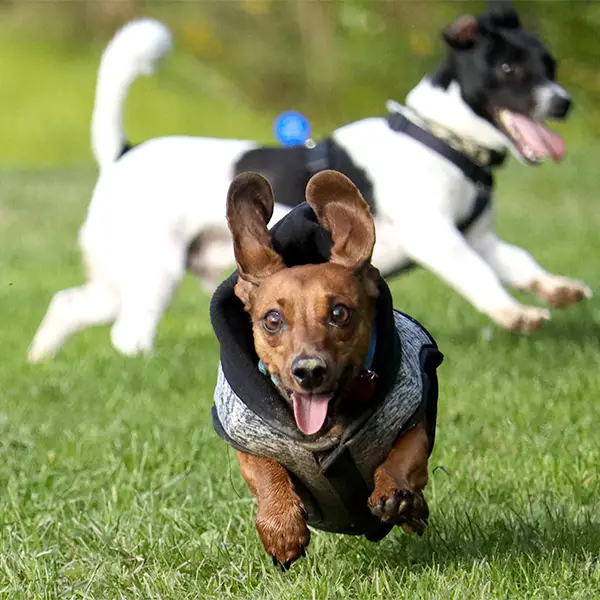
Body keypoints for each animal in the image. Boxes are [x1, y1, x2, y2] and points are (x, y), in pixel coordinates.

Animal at [28, 2, 592, 360]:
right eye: (508, 68)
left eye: (549, 65)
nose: (563, 102)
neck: (439, 138)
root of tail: (122, 154)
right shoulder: (439, 238)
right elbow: (479, 277)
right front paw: (513, 314)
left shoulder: (480, 236)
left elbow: (520, 263)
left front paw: (557, 289)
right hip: (154, 270)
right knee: (127, 333)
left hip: (120, 276)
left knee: (69, 304)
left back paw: (40, 358)